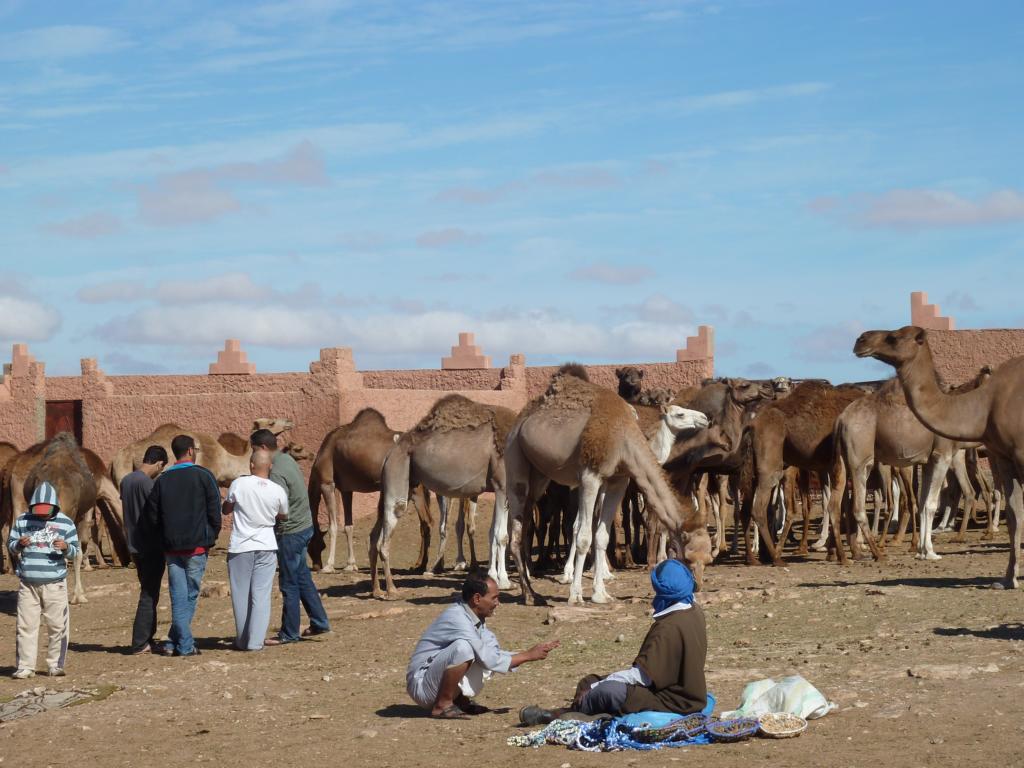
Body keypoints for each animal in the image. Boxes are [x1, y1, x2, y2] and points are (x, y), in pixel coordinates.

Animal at [368, 396, 517, 599]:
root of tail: (392, 450)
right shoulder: (502, 483)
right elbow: (501, 535)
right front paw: (504, 581)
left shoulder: (498, 487)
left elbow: (493, 532)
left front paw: (494, 577)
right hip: (397, 469)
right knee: (386, 535)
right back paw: (393, 590)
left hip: (397, 480)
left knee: (374, 537)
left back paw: (376, 590)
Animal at [504, 372, 714, 605]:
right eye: (688, 556)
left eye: (708, 559)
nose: (697, 585)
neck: (624, 436)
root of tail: (521, 416)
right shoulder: (590, 476)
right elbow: (583, 536)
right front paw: (576, 594)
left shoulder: (618, 480)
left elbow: (601, 536)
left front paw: (600, 594)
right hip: (515, 456)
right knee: (515, 527)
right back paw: (529, 594)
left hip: (539, 476)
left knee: (525, 524)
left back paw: (531, 588)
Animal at [855, 326, 1024, 588]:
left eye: (893, 337)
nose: (860, 340)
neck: (985, 405)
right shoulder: (1003, 456)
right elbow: (1015, 514)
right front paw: (1008, 579)